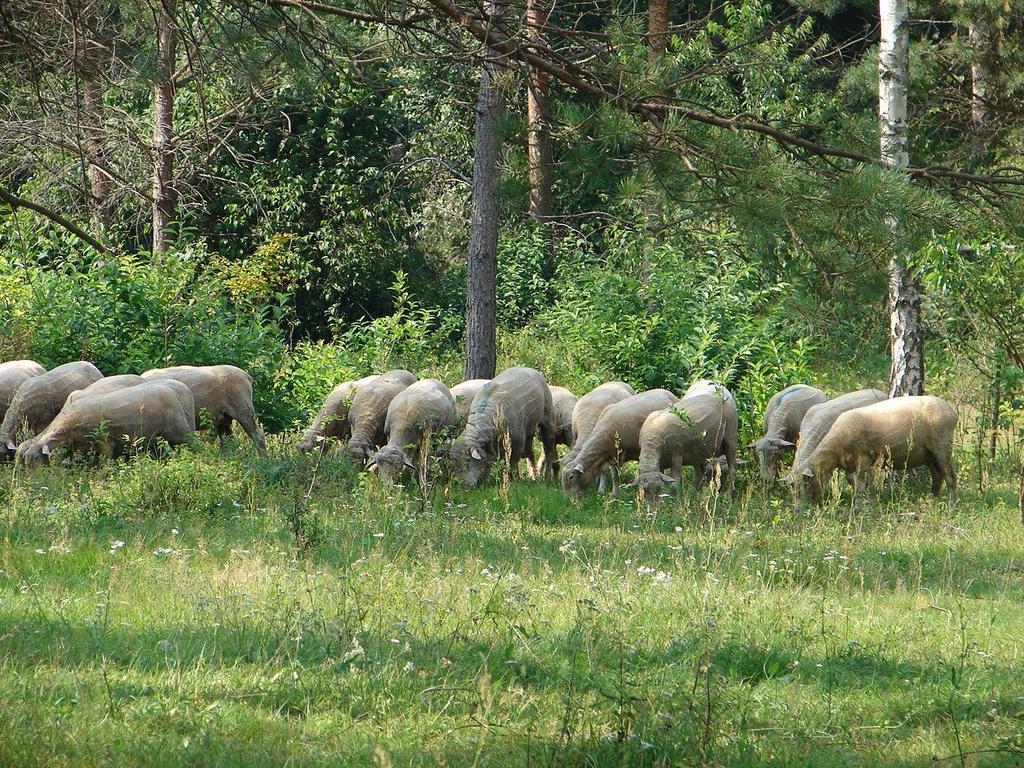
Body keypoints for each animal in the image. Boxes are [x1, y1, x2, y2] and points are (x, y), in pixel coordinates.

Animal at [786, 393, 954, 501]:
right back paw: (932, 499)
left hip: (942, 447)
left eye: (805, 485)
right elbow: (856, 483)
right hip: (929, 454)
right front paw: (866, 500)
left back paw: (950, 503)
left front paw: (862, 505)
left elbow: (861, 485)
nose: (799, 511)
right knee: (937, 475)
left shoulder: (864, 460)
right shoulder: (851, 465)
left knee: (950, 476)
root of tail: (952, 411)